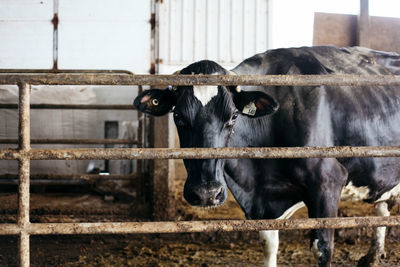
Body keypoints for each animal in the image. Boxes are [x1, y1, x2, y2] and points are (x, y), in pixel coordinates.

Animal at [134, 46, 400, 267]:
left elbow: (322, 249)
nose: (206, 193)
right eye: (178, 116)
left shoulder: (328, 180)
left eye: (233, 116)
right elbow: (268, 243)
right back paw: (372, 256)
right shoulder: (263, 202)